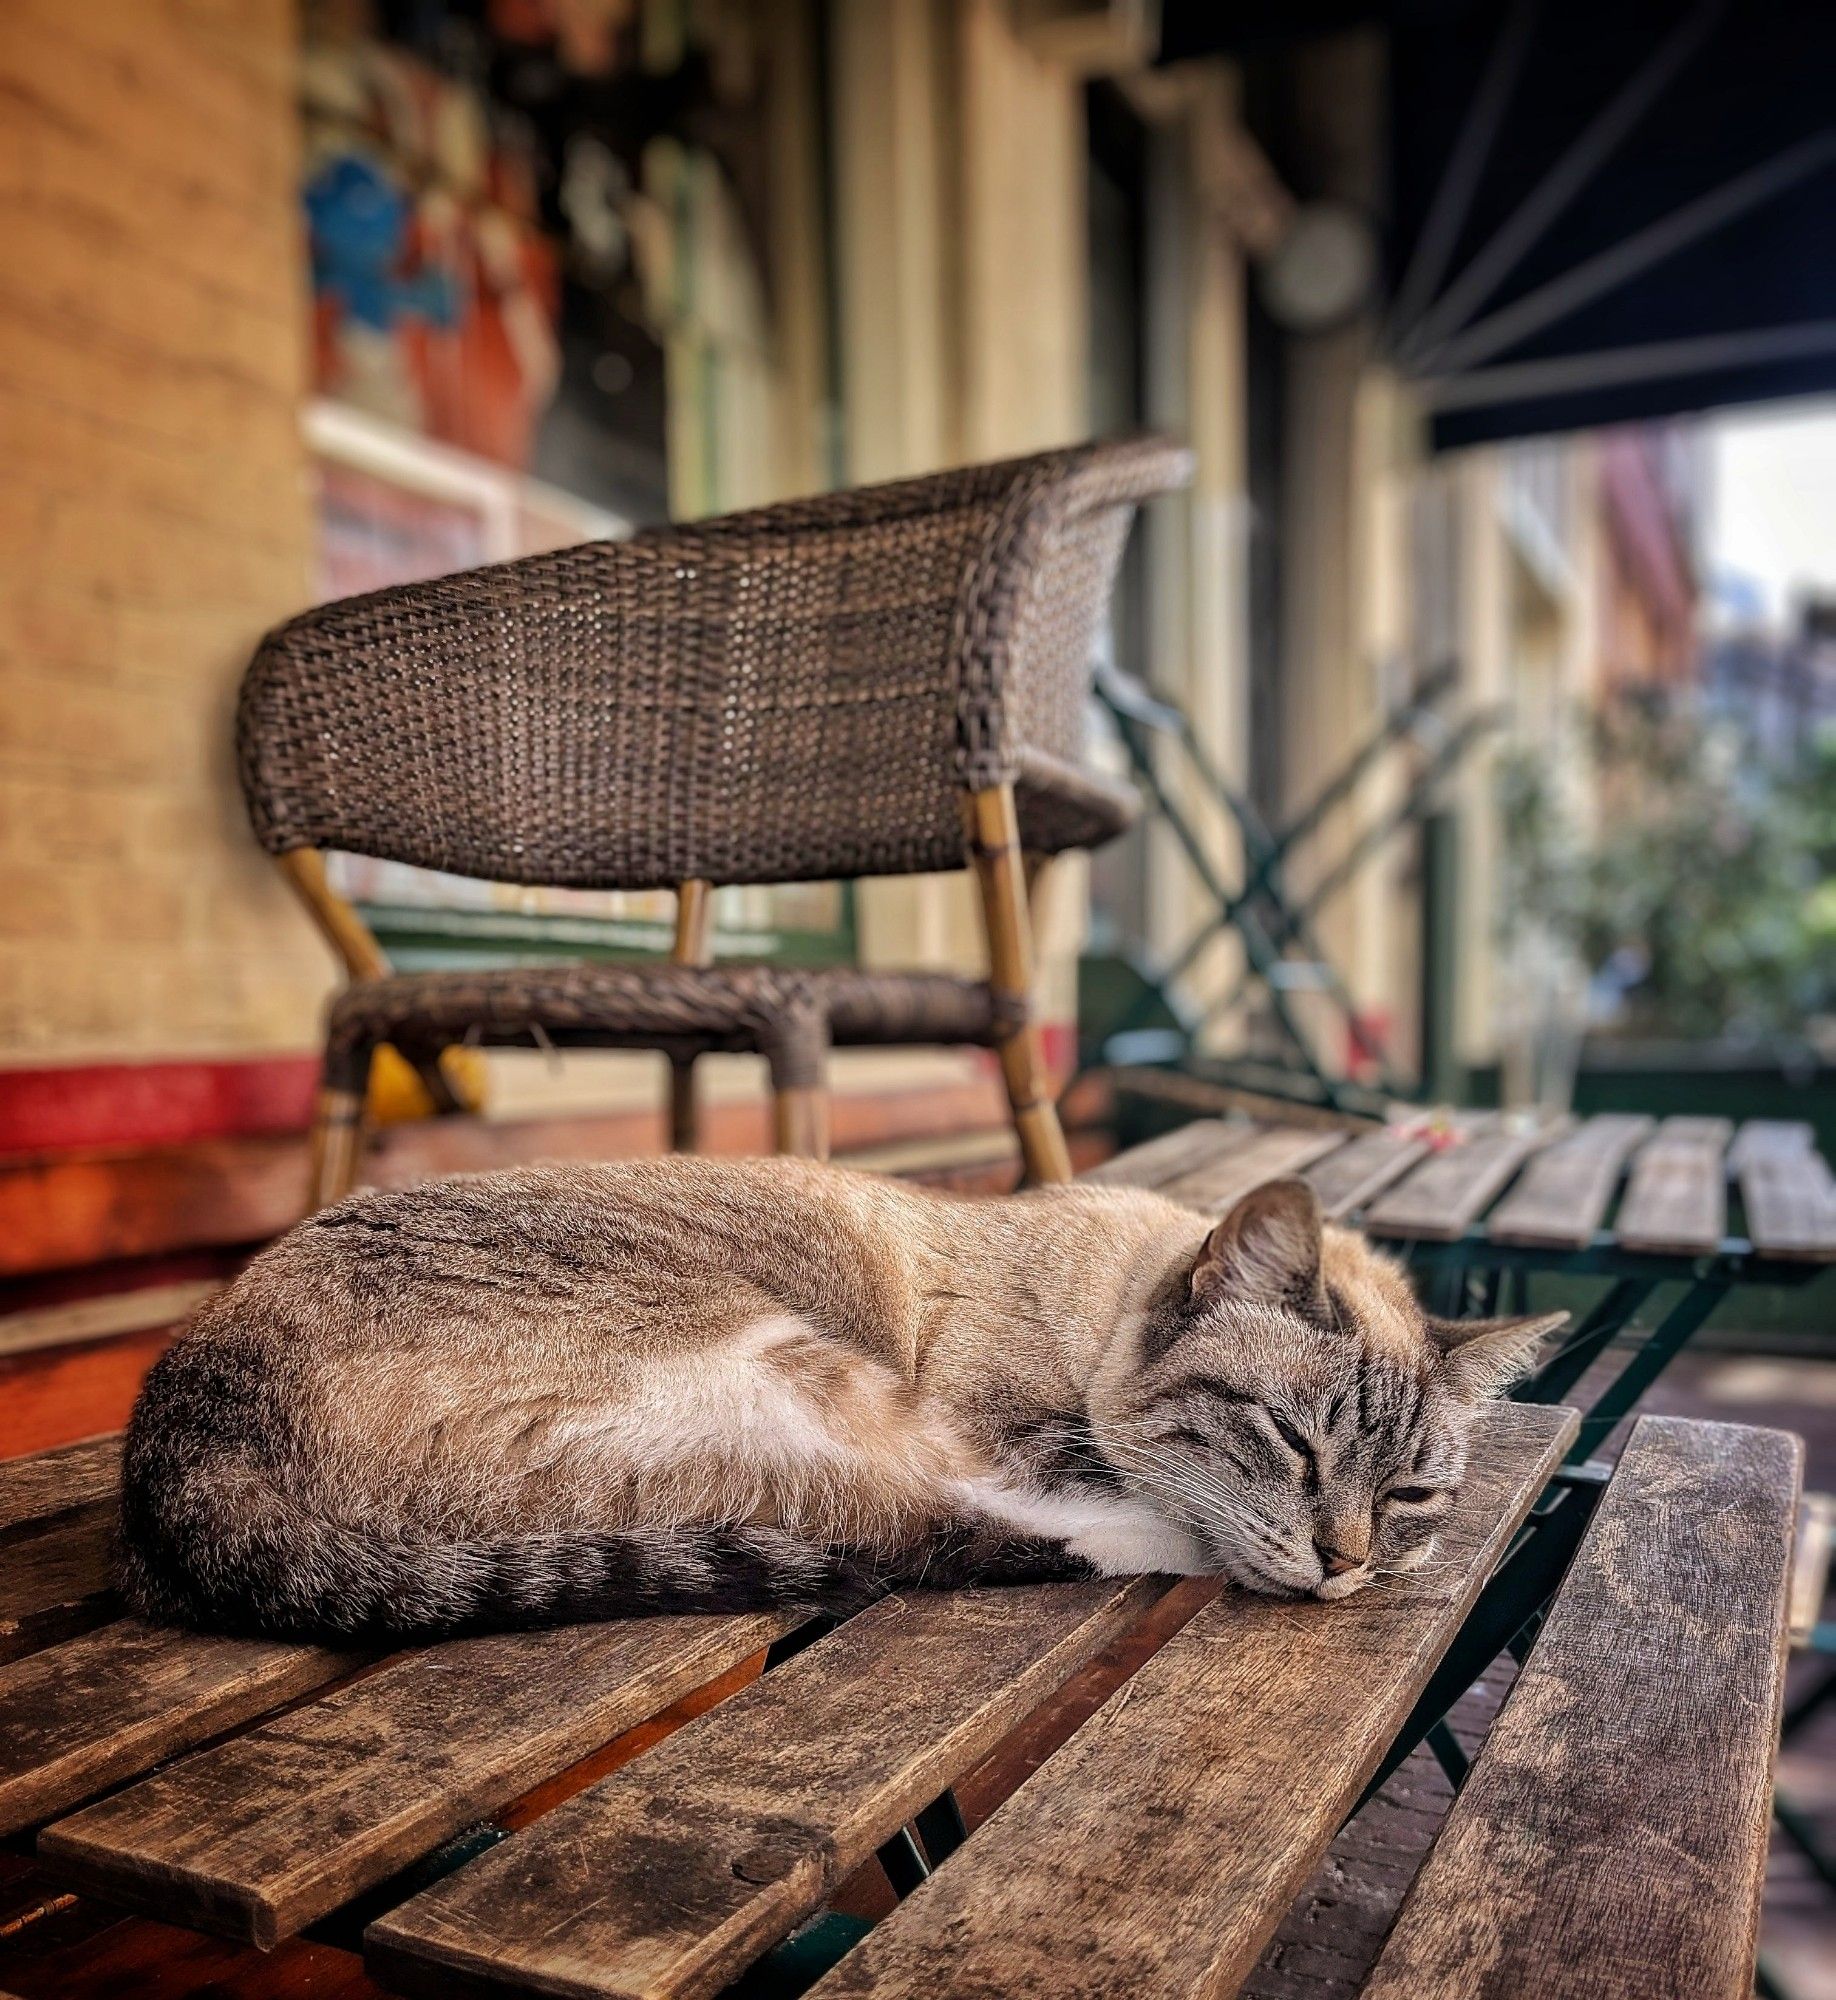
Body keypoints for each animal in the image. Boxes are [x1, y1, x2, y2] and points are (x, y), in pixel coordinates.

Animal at [115, 1160, 1560, 1640]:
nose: (1345, 1564)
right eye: (1288, 1441)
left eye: (1412, 1493)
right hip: (801, 1370)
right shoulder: (990, 1423)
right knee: (896, 1529)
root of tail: (172, 1432)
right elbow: (1083, 1484)